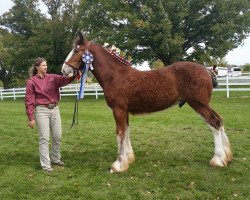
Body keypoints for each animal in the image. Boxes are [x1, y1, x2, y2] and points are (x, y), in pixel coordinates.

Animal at [62, 32, 232, 173]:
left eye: (76, 50)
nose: (64, 70)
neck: (116, 76)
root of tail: (207, 70)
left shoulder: (118, 110)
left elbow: (120, 134)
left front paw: (118, 165)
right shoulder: (125, 111)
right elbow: (127, 131)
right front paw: (129, 158)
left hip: (198, 104)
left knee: (214, 123)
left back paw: (217, 160)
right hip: (202, 104)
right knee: (219, 120)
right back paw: (226, 157)